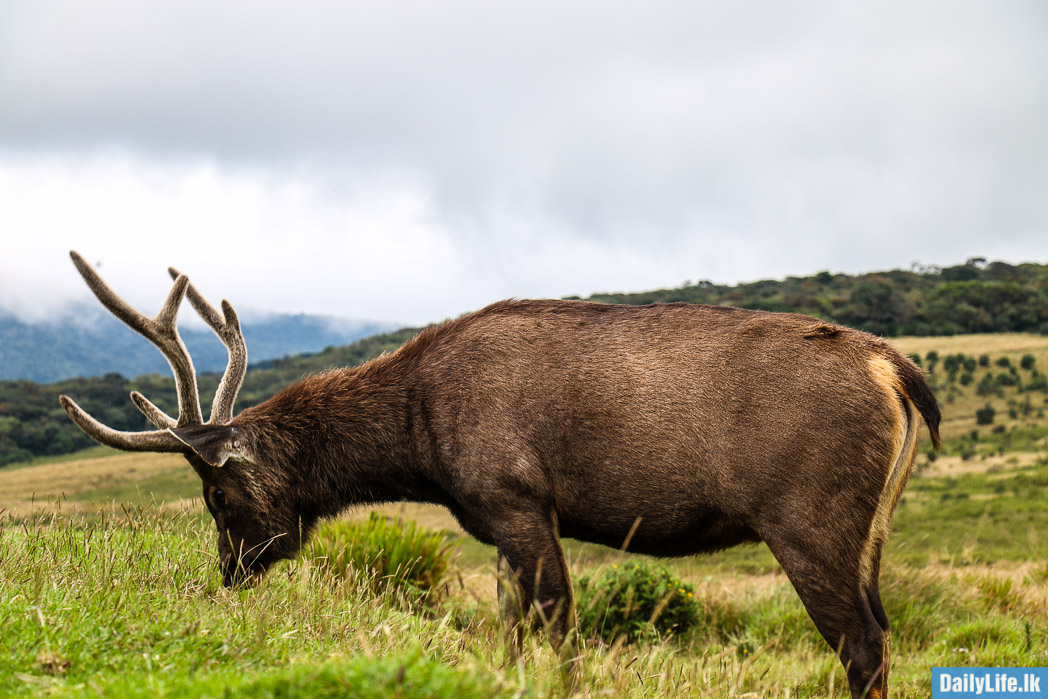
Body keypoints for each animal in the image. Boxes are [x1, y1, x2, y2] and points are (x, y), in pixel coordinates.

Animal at [59, 251, 940, 699]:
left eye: (216, 494)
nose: (228, 573)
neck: (420, 444)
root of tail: (895, 368)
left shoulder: (517, 496)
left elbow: (557, 625)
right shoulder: (497, 524)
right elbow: (512, 627)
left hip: (809, 514)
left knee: (862, 643)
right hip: (863, 530)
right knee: (881, 630)